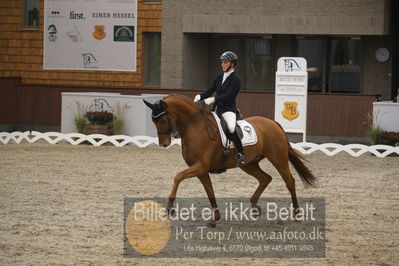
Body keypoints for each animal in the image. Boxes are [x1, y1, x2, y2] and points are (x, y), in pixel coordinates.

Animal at [144, 94, 316, 227]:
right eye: (153, 121)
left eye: (162, 120)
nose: (164, 144)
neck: (195, 127)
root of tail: (273, 123)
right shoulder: (201, 170)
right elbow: (210, 192)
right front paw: (214, 219)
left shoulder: (200, 166)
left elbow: (177, 177)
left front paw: (169, 208)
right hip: (249, 164)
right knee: (265, 178)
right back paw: (255, 207)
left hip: (278, 159)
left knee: (289, 181)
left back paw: (296, 215)